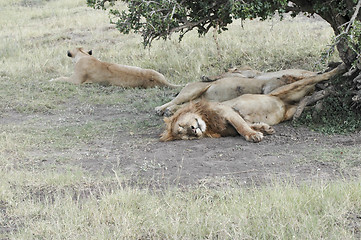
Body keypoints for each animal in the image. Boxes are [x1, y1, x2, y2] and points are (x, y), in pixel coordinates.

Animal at [160, 63, 346, 142]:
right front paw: (263, 128)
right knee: (309, 102)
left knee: (317, 77)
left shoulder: (228, 110)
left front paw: (253, 135)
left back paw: (339, 69)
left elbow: (242, 127)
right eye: (183, 133)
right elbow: (246, 125)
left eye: (183, 126)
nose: (194, 130)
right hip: (291, 108)